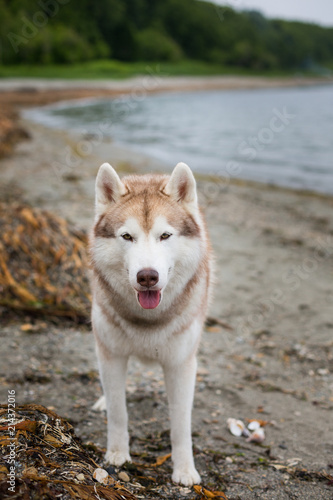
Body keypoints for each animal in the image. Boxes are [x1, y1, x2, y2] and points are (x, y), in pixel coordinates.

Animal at [89, 162, 211, 486]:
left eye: (165, 235)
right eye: (127, 236)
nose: (147, 276)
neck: (147, 320)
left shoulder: (180, 364)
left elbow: (180, 425)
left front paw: (184, 470)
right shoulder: (112, 354)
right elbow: (118, 412)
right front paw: (117, 455)